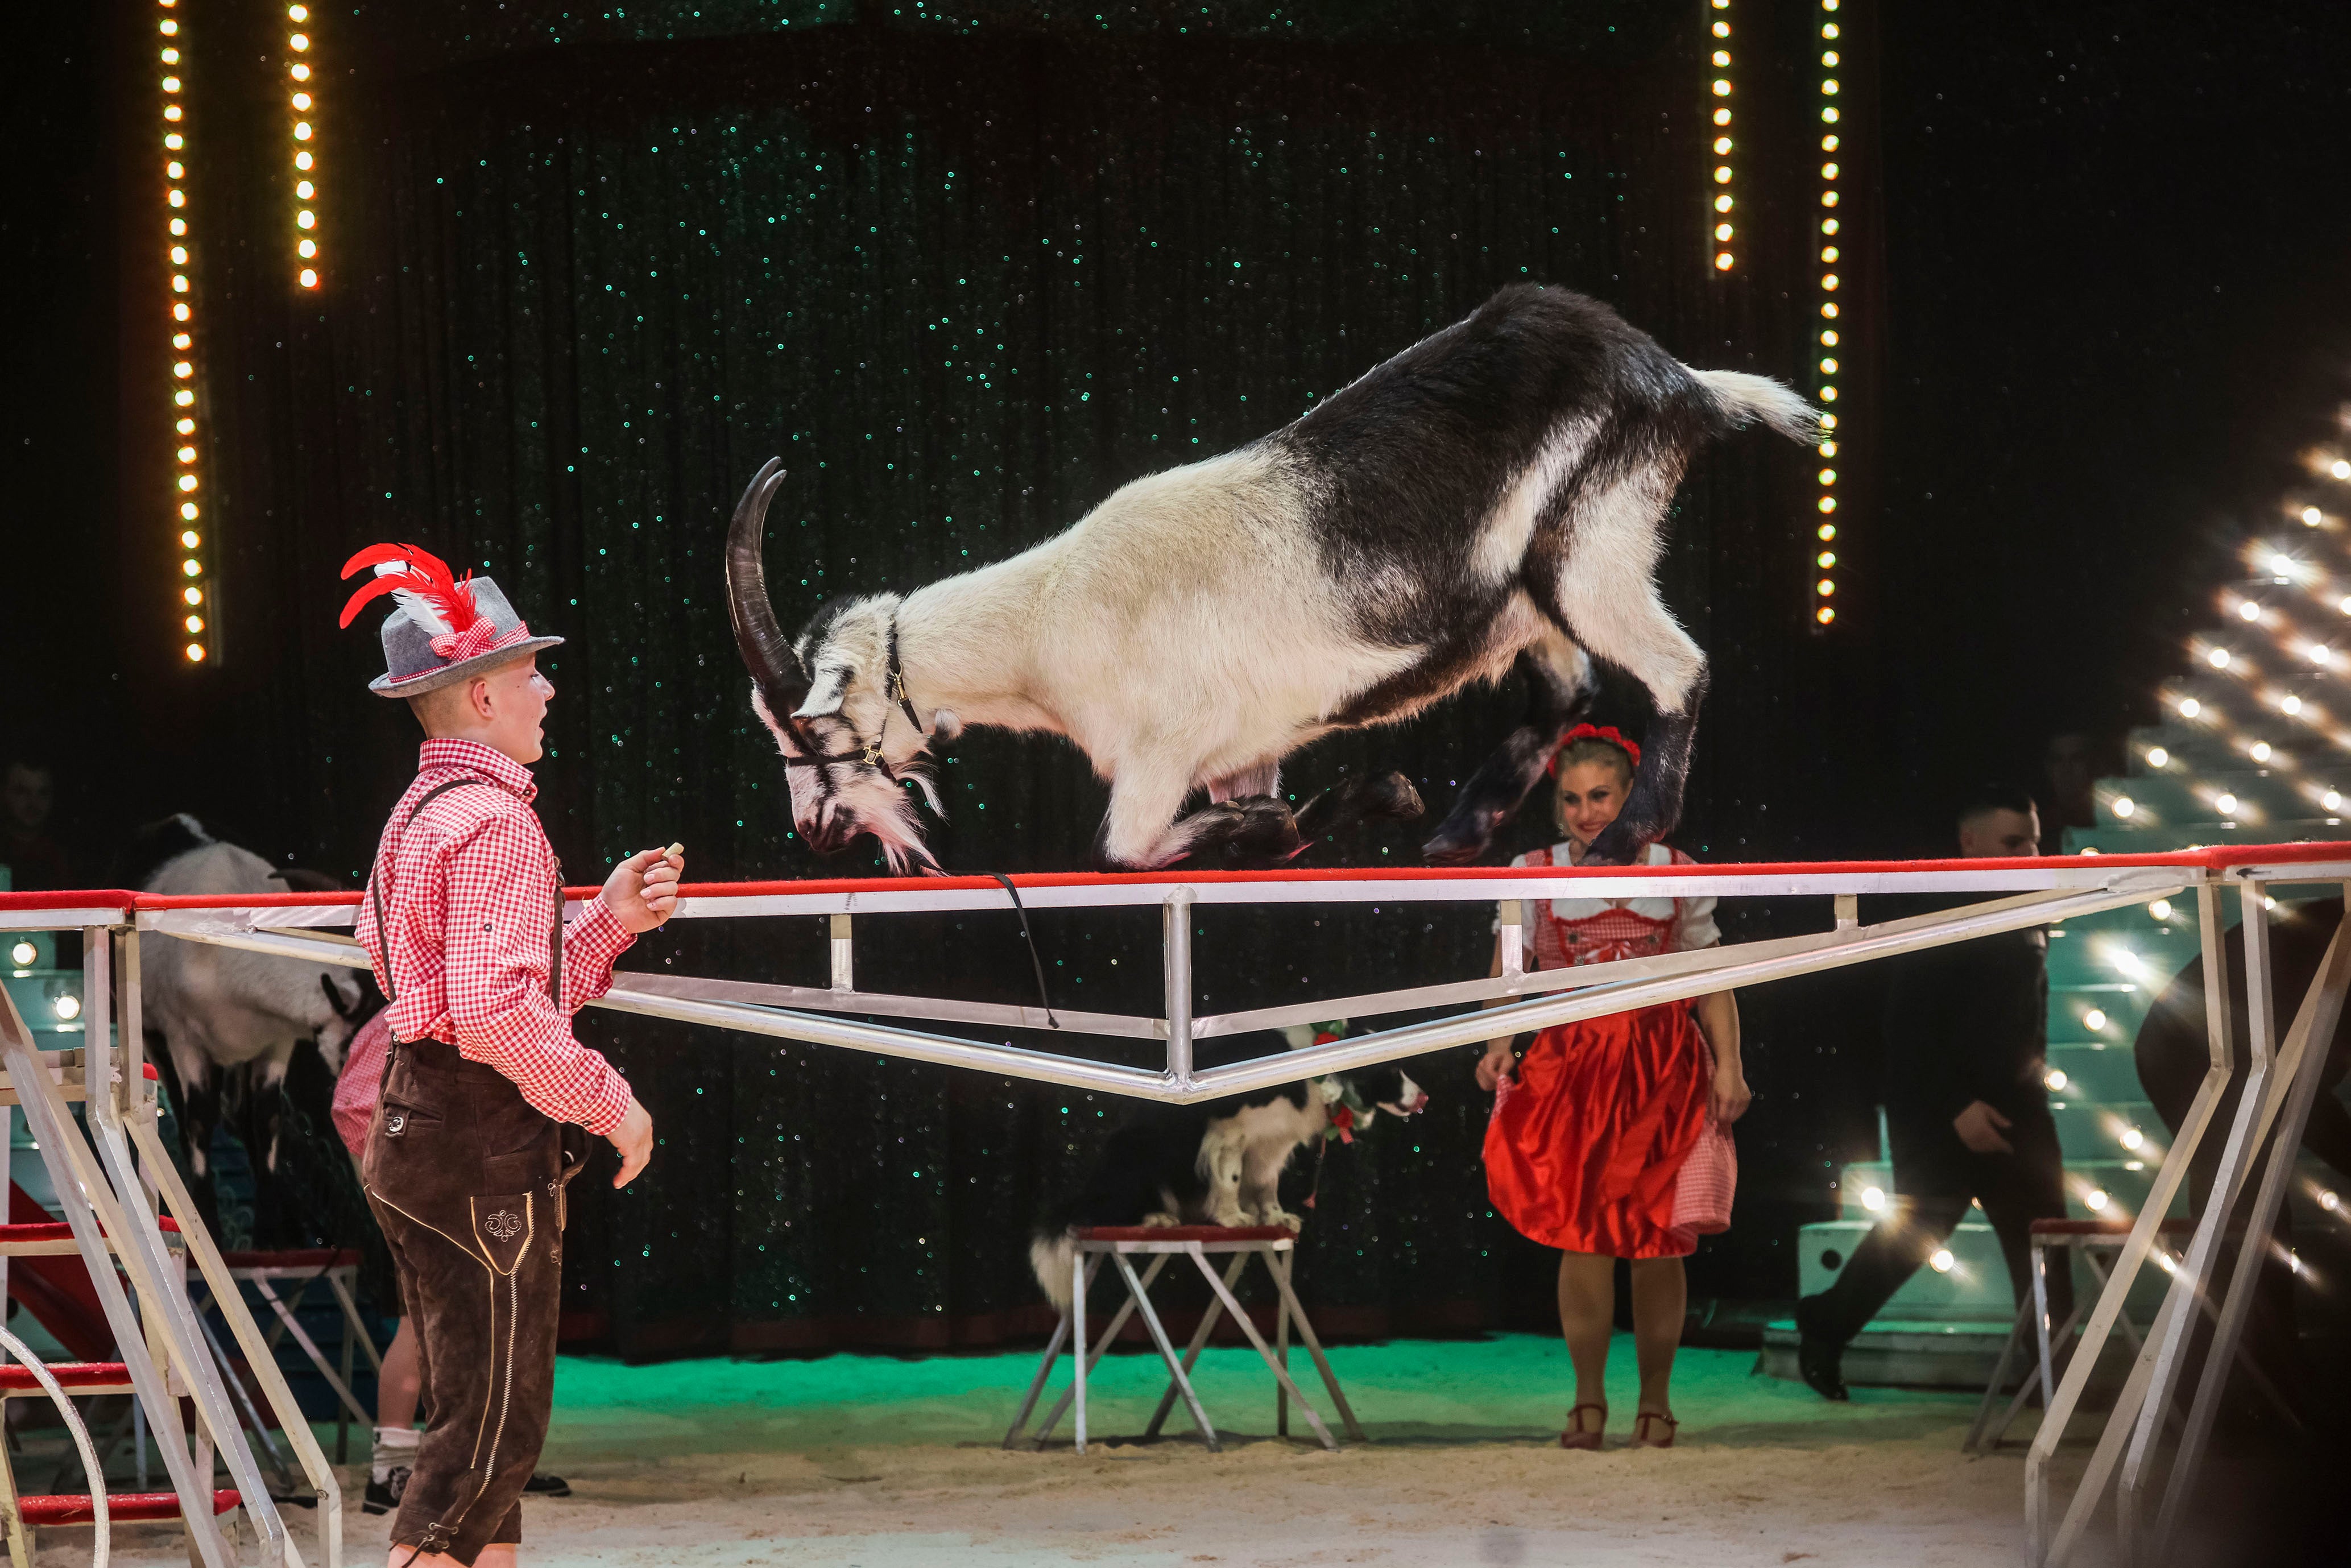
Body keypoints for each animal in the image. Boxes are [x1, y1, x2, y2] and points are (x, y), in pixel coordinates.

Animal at [724, 282, 1805, 870]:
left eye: (811, 726)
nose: (816, 832)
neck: (1044, 620)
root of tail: (1683, 383)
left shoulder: (1164, 750)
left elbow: (1122, 851)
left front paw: (1358, 798)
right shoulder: (1240, 748)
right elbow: (1260, 822)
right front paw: (1352, 804)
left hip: (1591, 549)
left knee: (1674, 670)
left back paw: (1623, 837)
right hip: (1525, 598)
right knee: (1563, 688)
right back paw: (1457, 831)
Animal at [1025, 1062, 1419, 1307]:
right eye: (1390, 1071)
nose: (1424, 1097)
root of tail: (1086, 1193)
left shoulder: (1271, 1146)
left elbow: (1266, 1184)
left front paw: (1276, 1218)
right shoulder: (1230, 1132)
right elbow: (1230, 1177)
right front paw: (1234, 1218)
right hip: (1132, 1163)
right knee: (1109, 1213)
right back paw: (1157, 1219)